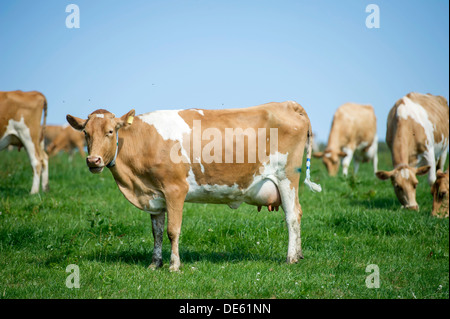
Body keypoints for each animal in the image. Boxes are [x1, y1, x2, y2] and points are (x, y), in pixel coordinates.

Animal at [66, 101, 320, 272]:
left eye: (110, 131)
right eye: (86, 133)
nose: (93, 160)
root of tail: (286, 103)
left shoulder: (175, 189)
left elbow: (172, 230)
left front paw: (174, 266)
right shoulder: (154, 196)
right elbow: (157, 232)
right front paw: (154, 264)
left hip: (287, 178)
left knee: (292, 216)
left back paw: (291, 258)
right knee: (296, 214)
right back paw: (299, 255)